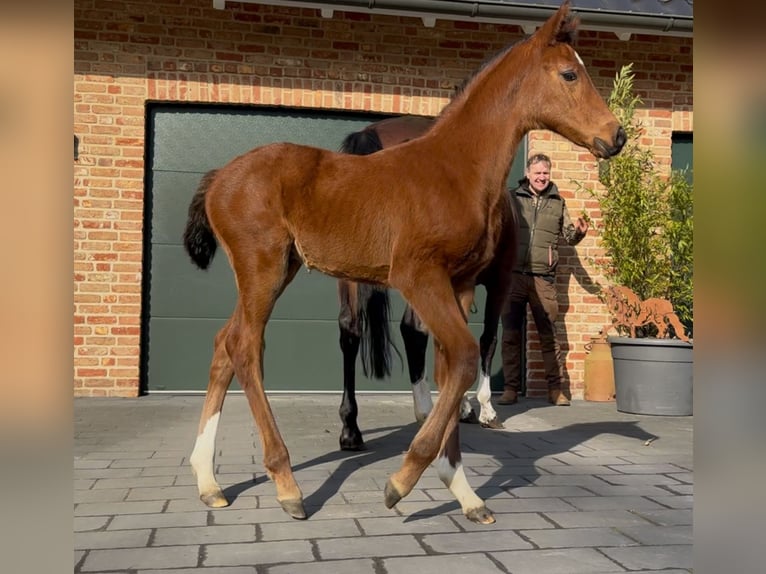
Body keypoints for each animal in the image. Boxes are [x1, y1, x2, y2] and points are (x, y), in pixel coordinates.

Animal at [338, 116, 512, 454]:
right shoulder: (501, 281)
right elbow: (487, 339)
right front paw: (484, 408)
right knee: (412, 329)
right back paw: (425, 412)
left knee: (349, 329)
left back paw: (351, 429)